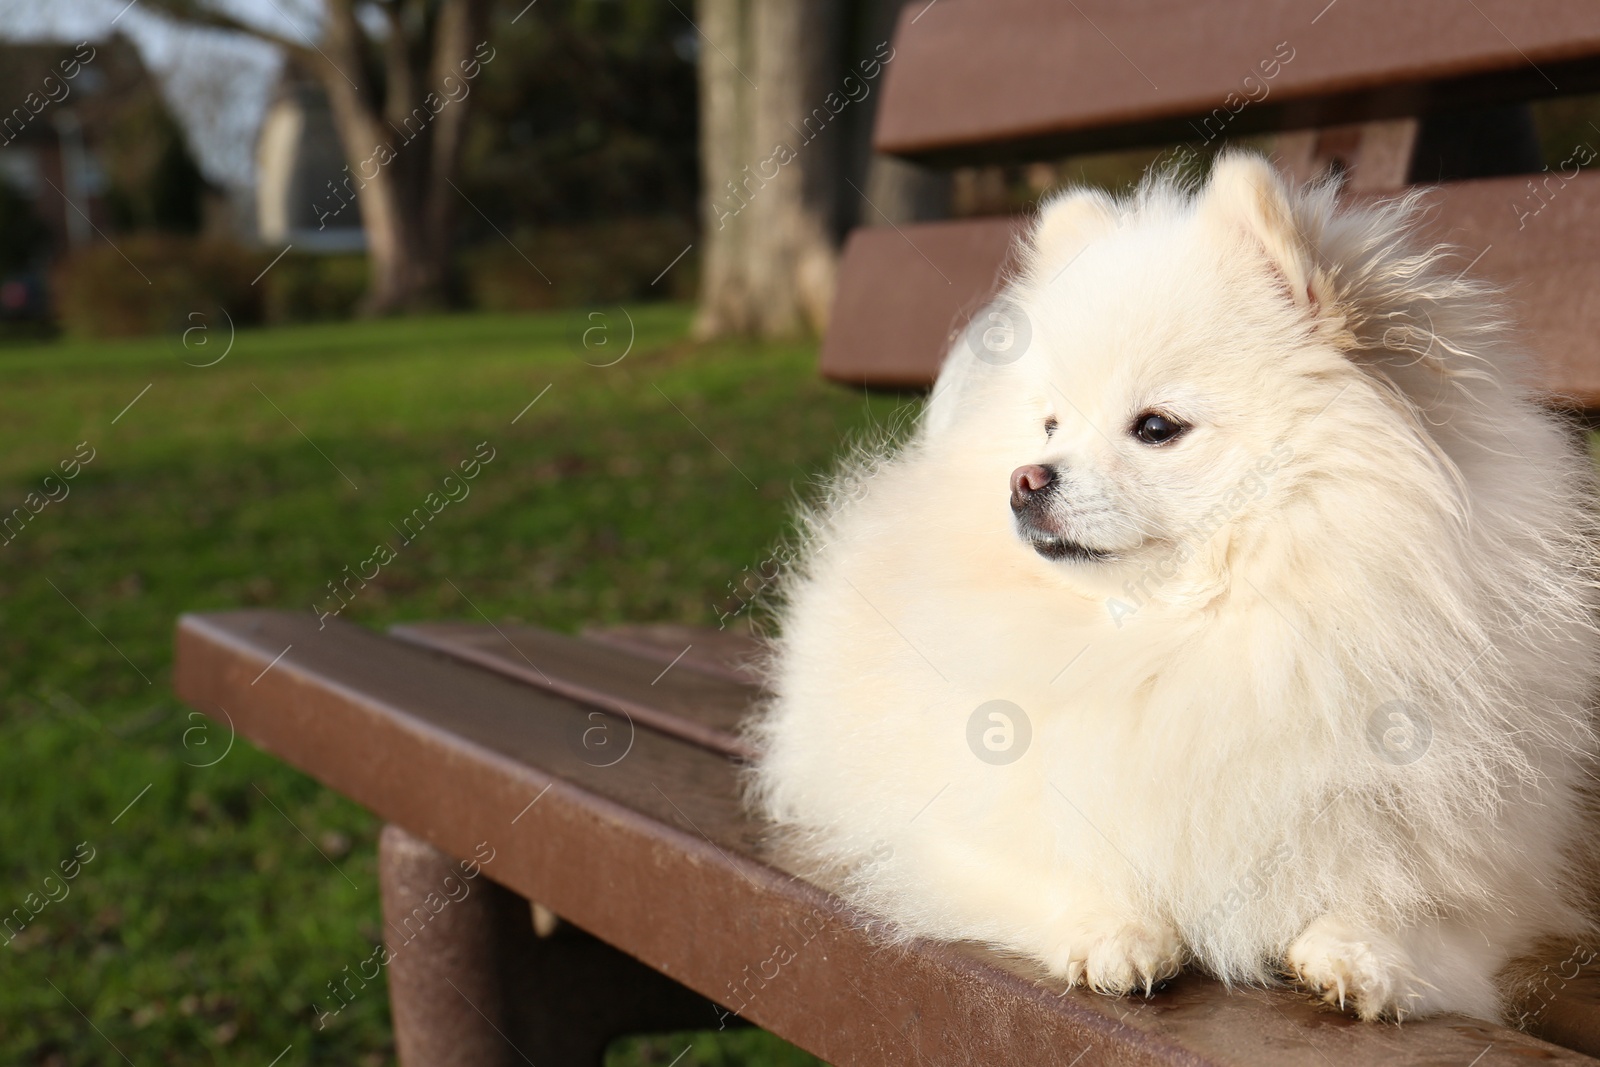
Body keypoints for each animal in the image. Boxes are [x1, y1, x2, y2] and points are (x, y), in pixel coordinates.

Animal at [748, 154, 1600, 1023]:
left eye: (1156, 428)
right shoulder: (953, 832)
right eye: (1051, 426)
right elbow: (1048, 860)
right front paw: (1115, 930)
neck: (1192, 634)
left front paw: (1365, 953)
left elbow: (1430, 909)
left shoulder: (1500, 876)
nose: (1025, 479)